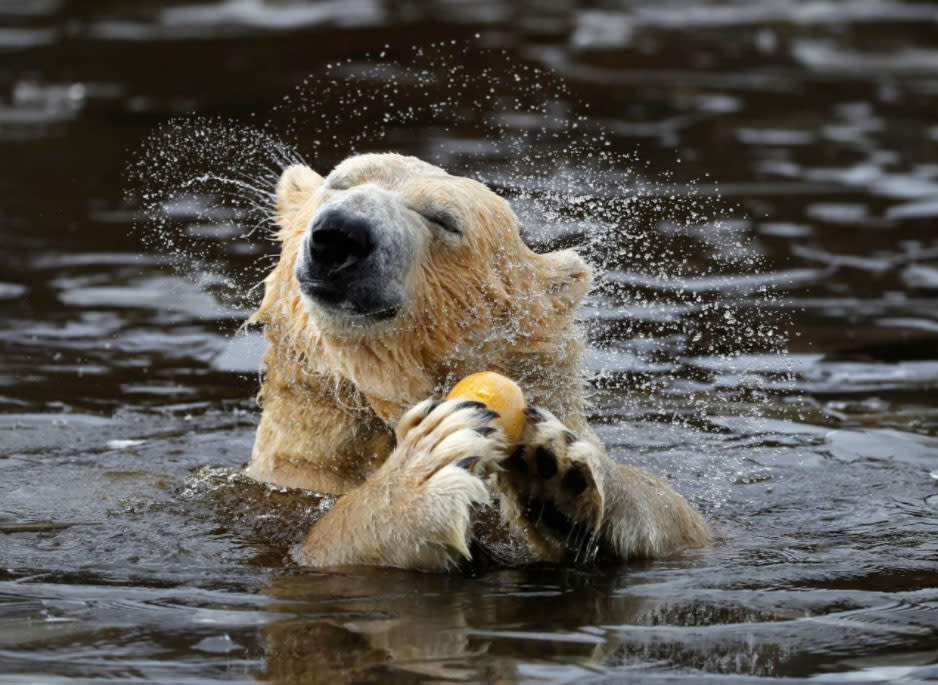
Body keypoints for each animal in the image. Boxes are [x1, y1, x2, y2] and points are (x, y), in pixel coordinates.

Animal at [245, 152, 704, 568]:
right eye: (339, 184)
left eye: (444, 220)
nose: (341, 234)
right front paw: (419, 472)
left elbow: (686, 520)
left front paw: (560, 465)